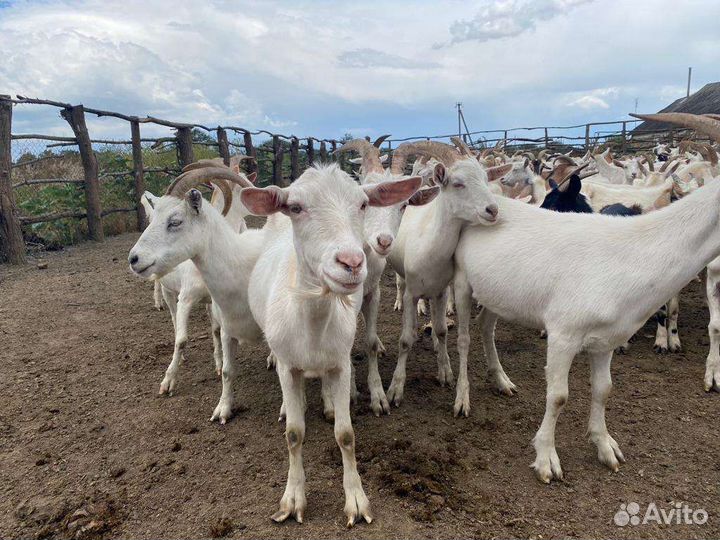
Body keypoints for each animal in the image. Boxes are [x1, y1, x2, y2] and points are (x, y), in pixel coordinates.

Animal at [242, 164, 419, 526]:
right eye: (295, 207)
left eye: (363, 204)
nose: (351, 262)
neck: (311, 321)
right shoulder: (288, 367)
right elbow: (294, 434)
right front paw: (292, 500)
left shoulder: (339, 363)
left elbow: (346, 434)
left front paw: (357, 500)